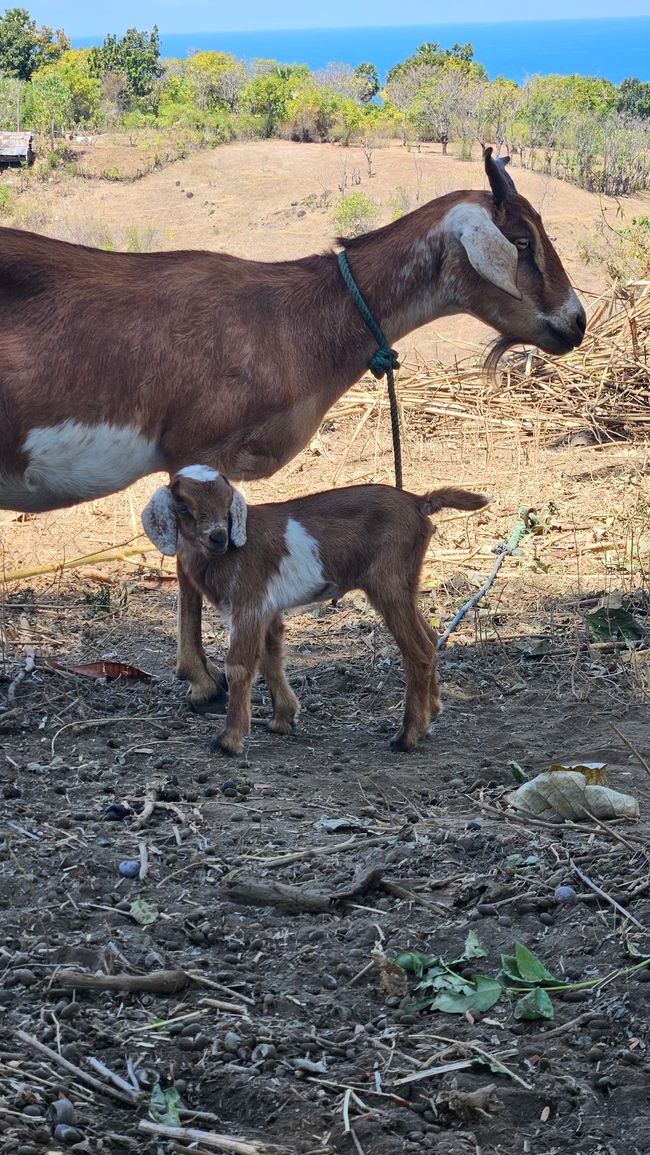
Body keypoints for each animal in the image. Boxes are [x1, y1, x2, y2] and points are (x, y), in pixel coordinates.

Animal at [0, 148, 586, 706]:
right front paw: (201, 682)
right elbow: (189, 567)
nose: (576, 322)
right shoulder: (196, 448)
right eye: (522, 240)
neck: (287, 318)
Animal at [141, 464, 489, 753]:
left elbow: (239, 666)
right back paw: (431, 715)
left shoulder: (249, 603)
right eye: (183, 507)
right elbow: (270, 658)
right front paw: (283, 718)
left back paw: (406, 737)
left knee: (418, 649)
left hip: (387, 580)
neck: (225, 556)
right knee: (430, 637)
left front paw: (228, 740)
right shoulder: (267, 607)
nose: (218, 537)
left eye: (228, 501)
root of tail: (418, 502)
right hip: (406, 581)